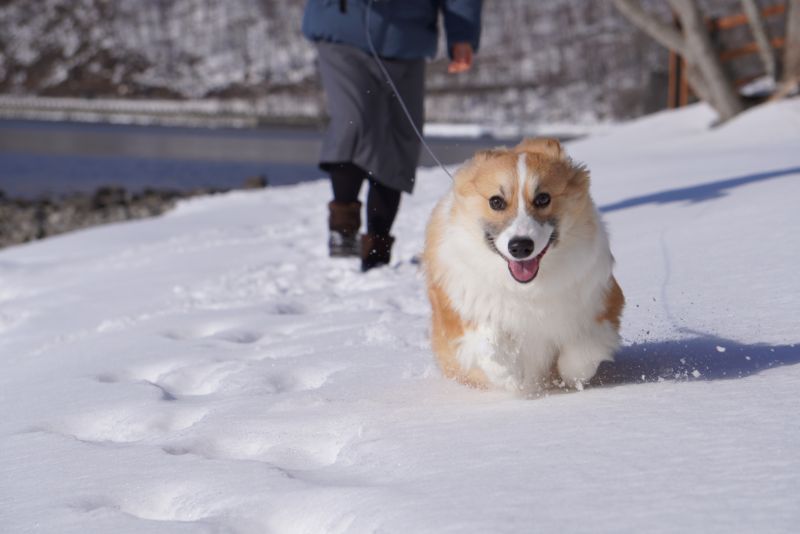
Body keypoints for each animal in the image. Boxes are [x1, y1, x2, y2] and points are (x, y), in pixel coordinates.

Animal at [422, 140, 620, 396]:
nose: (520, 246)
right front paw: (510, 376)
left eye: (543, 199)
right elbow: (488, 338)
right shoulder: (461, 312)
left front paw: (571, 378)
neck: (525, 288)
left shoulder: (601, 301)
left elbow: (581, 349)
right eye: (496, 201)